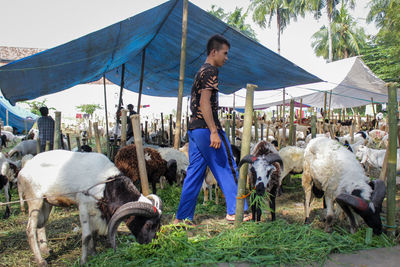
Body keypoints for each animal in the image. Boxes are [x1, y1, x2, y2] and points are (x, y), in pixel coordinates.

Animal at [17, 150, 161, 266]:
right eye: (148, 224)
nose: (153, 245)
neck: (106, 185)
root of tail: (25, 167)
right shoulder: (83, 206)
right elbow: (86, 236)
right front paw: (83, 261)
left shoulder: (95, 210)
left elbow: (94, 233)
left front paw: (94, 253)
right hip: (34, 200)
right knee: (30, 229)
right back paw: (41, 261)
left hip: (46, 202)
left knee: (41, 225)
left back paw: (46, 249)